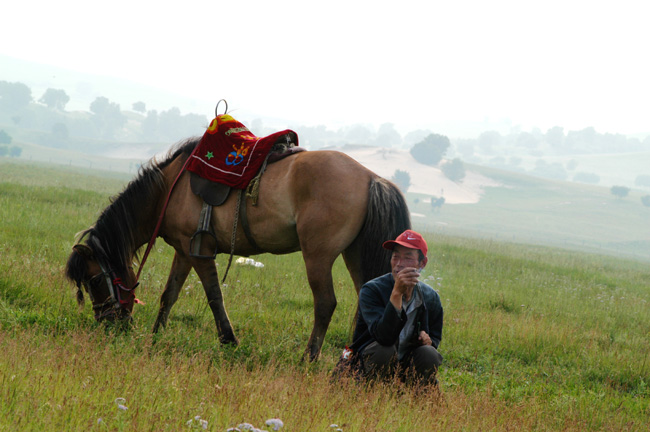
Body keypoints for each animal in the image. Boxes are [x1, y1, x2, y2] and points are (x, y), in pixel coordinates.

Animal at [66, 137, 410, 360]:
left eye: (94, 280)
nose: (107, 322)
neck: (170, 189)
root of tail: (372, 177)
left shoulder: (199, 251)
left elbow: (214, 296)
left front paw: (228, 339)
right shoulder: (183, 251)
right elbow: (169, 294)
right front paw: (155, 334)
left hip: (318, 256)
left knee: (325, 303)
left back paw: (308, 359)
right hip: (353, 254)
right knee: (366, 297)